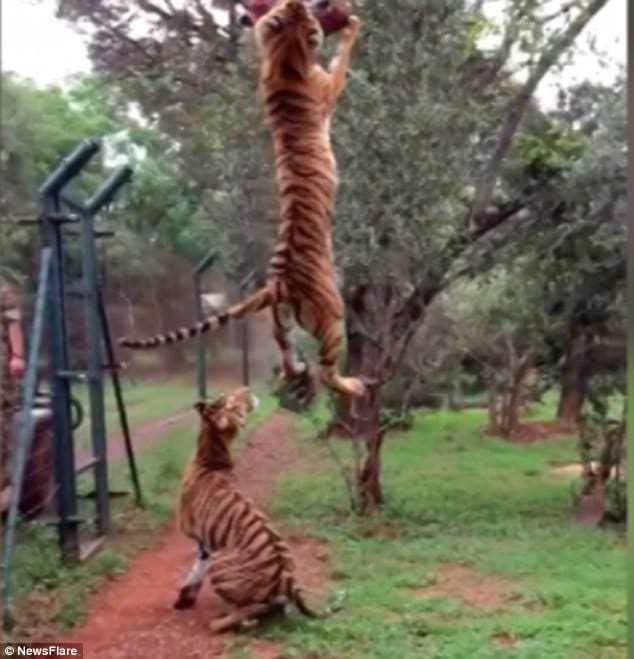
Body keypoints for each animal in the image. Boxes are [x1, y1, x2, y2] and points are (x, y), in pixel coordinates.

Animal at [118, 0, 366, 402]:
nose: (299, 4)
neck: (285, 60)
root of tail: (278, 283)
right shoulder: (330, 87)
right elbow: (342, 59)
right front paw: (352, 25)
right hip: (332, 316)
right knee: (329, 371)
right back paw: (353, 385)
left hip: (280, 320)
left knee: (286, 353)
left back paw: (297, 370)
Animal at [174, 386, 336, 633]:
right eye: (227, 398)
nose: (247, 388)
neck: (212, 454)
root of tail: (285, 577)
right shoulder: (205, 543)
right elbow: (196, 569)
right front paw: (185, 598)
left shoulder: (200, 539)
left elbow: (196, 568)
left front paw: (185, 598)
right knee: (271, 607)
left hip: (220, 561)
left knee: (246, 615)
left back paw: (217, 621)